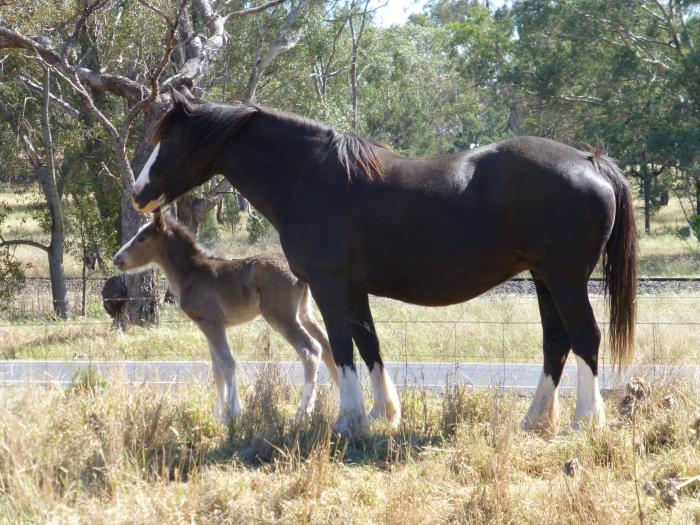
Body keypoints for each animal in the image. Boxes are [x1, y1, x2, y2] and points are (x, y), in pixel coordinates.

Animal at [112, 210, 339, 421]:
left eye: (142, 238)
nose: (117, 259)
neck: (191, 274)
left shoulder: (212, 323)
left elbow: (227, 363)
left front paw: (233, 412)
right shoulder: (208, 325)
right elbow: (217, 368)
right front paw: (218, 415)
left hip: (281, 316)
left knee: (310, 350)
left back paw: (303, 413)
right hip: (304, 313)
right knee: (327, 346)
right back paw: (339, 401)